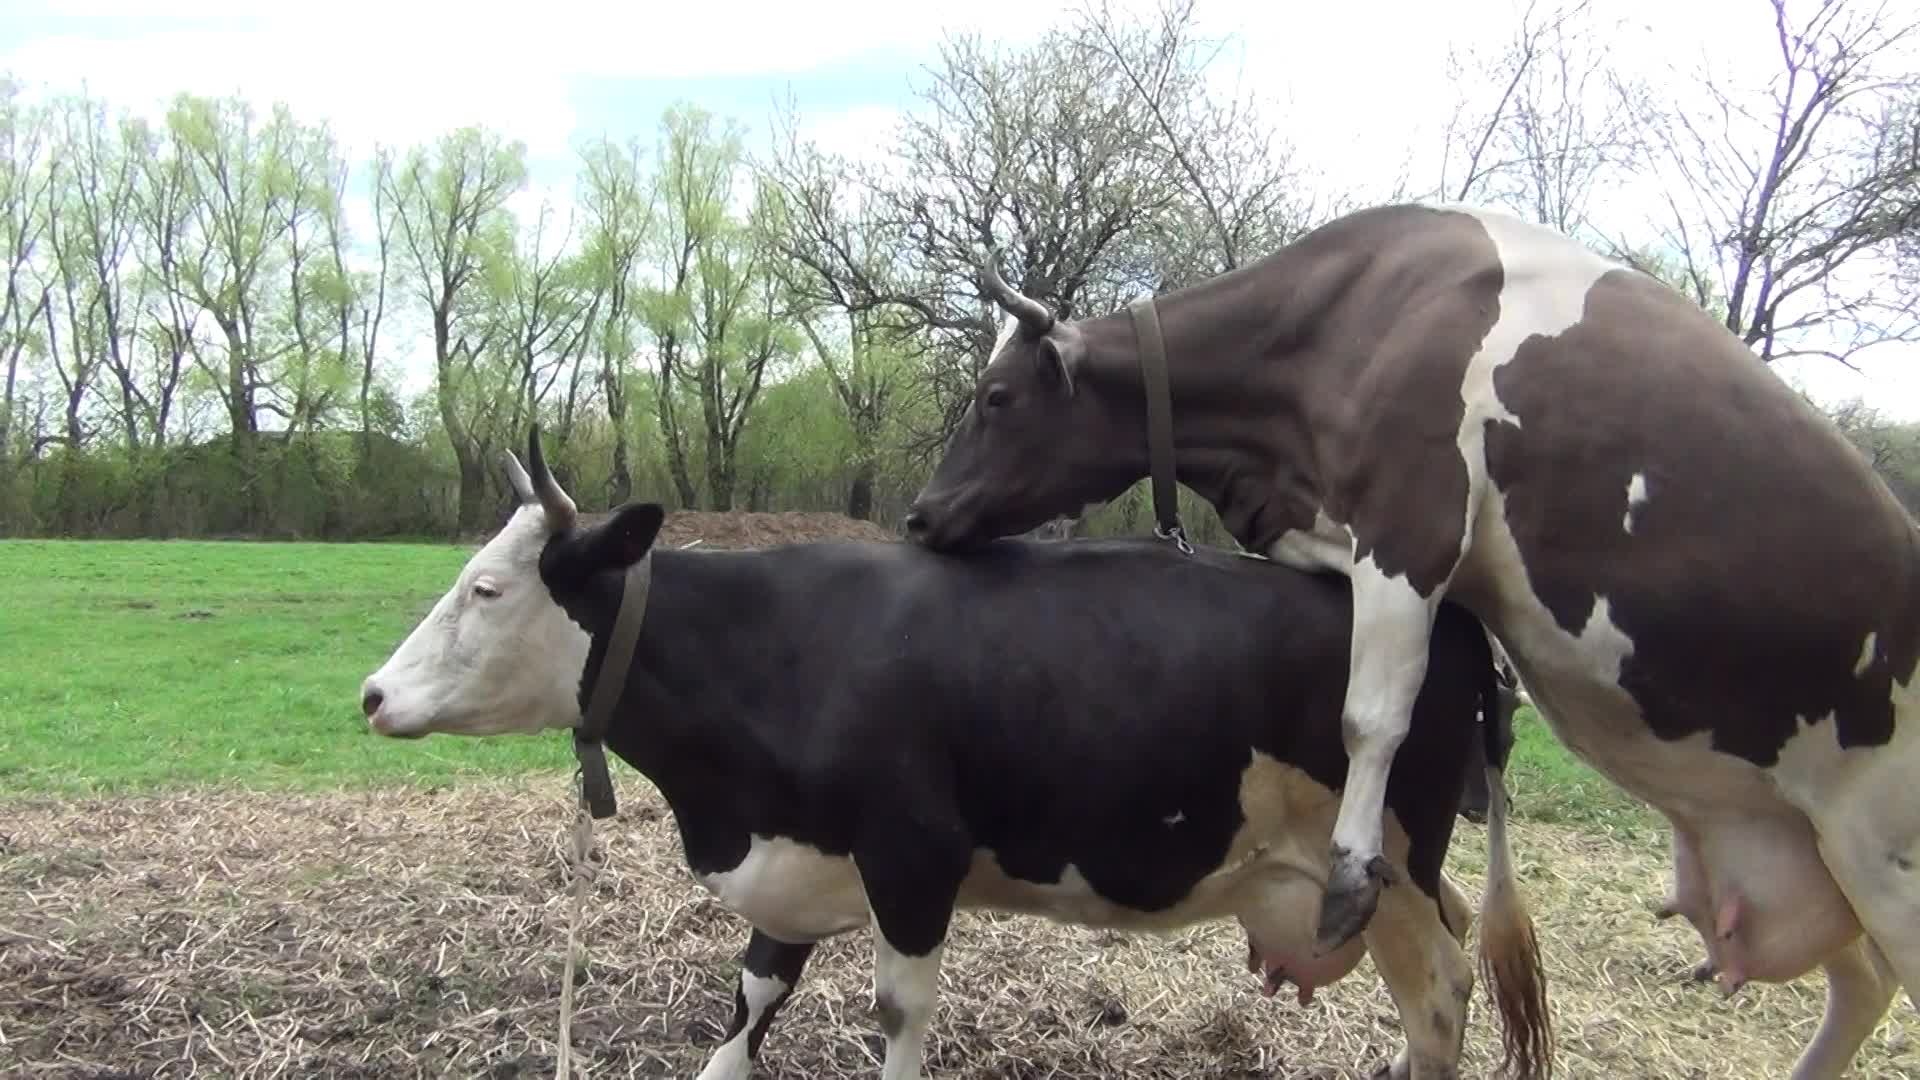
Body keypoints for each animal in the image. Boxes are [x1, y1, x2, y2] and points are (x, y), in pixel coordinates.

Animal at [362, 432, 1559, 1076]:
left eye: (487, 588)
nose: (372, 695)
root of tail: (1450, 615)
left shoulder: (914, 858)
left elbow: (898, 1018)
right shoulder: (795, 867)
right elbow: (747, 1005)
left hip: (1382, 867)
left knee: (1444, 994)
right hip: (1396, 875)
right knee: (1443, 969)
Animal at [902, 201, 1920, 1076]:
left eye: (997, 397)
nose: (917, 514)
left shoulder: (1411, 524)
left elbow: (1373, 714)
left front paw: (1353, 869)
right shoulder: (1342, 534)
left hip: (1887, 854)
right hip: (1799, 838)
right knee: (1863, 983)